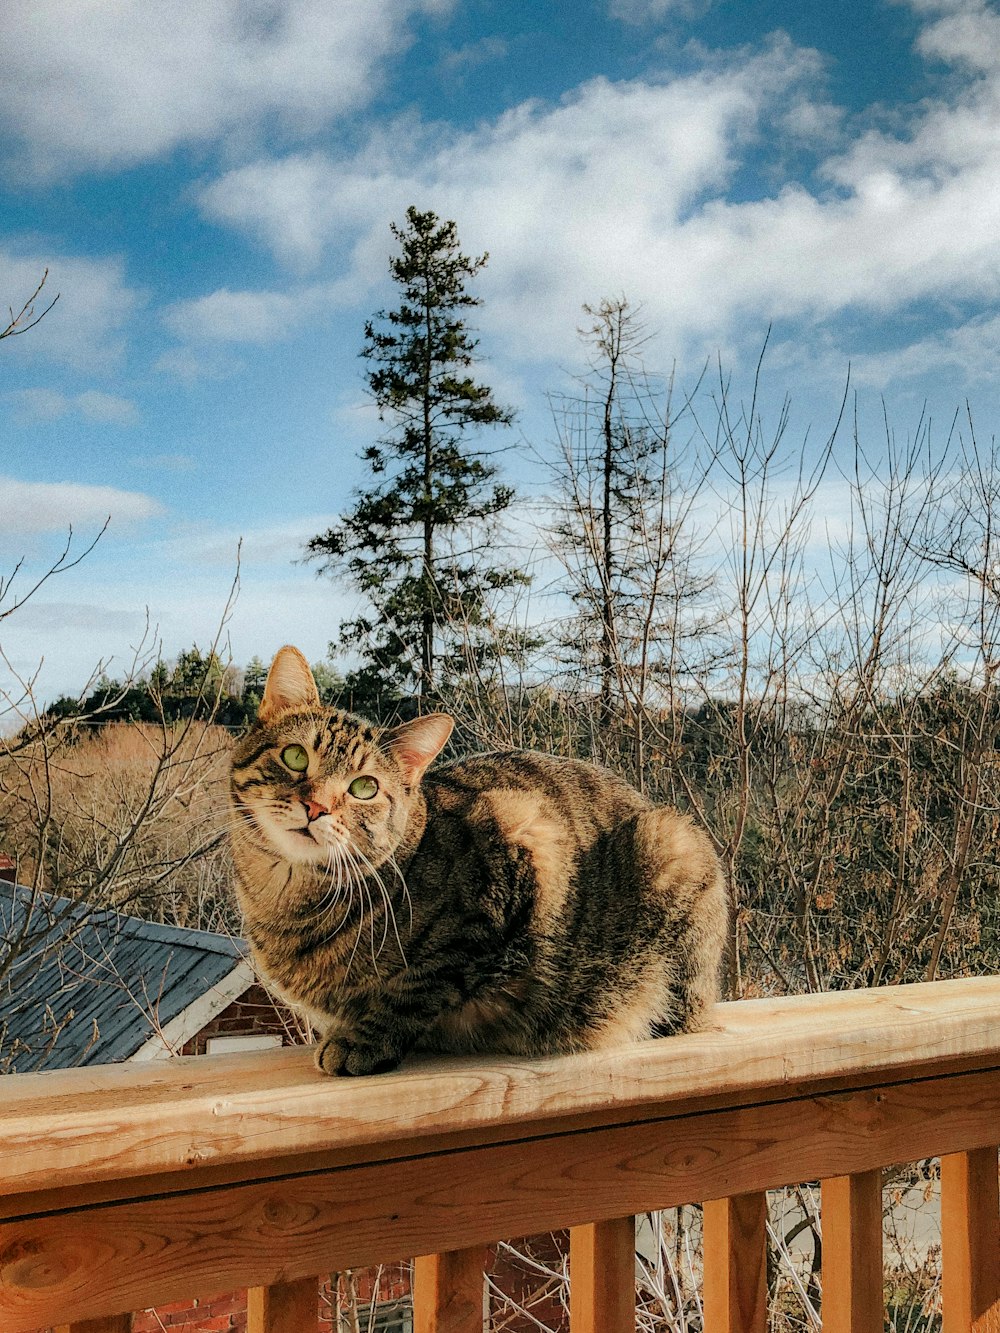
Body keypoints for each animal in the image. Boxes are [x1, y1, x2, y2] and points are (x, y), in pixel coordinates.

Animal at [229, 642, 730, 1071]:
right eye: (295, 757)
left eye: (364, 787)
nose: (316, 807)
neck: (285, 898)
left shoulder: (518, 850)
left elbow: (416, 987)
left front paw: (361, 1040)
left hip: (671, 846)